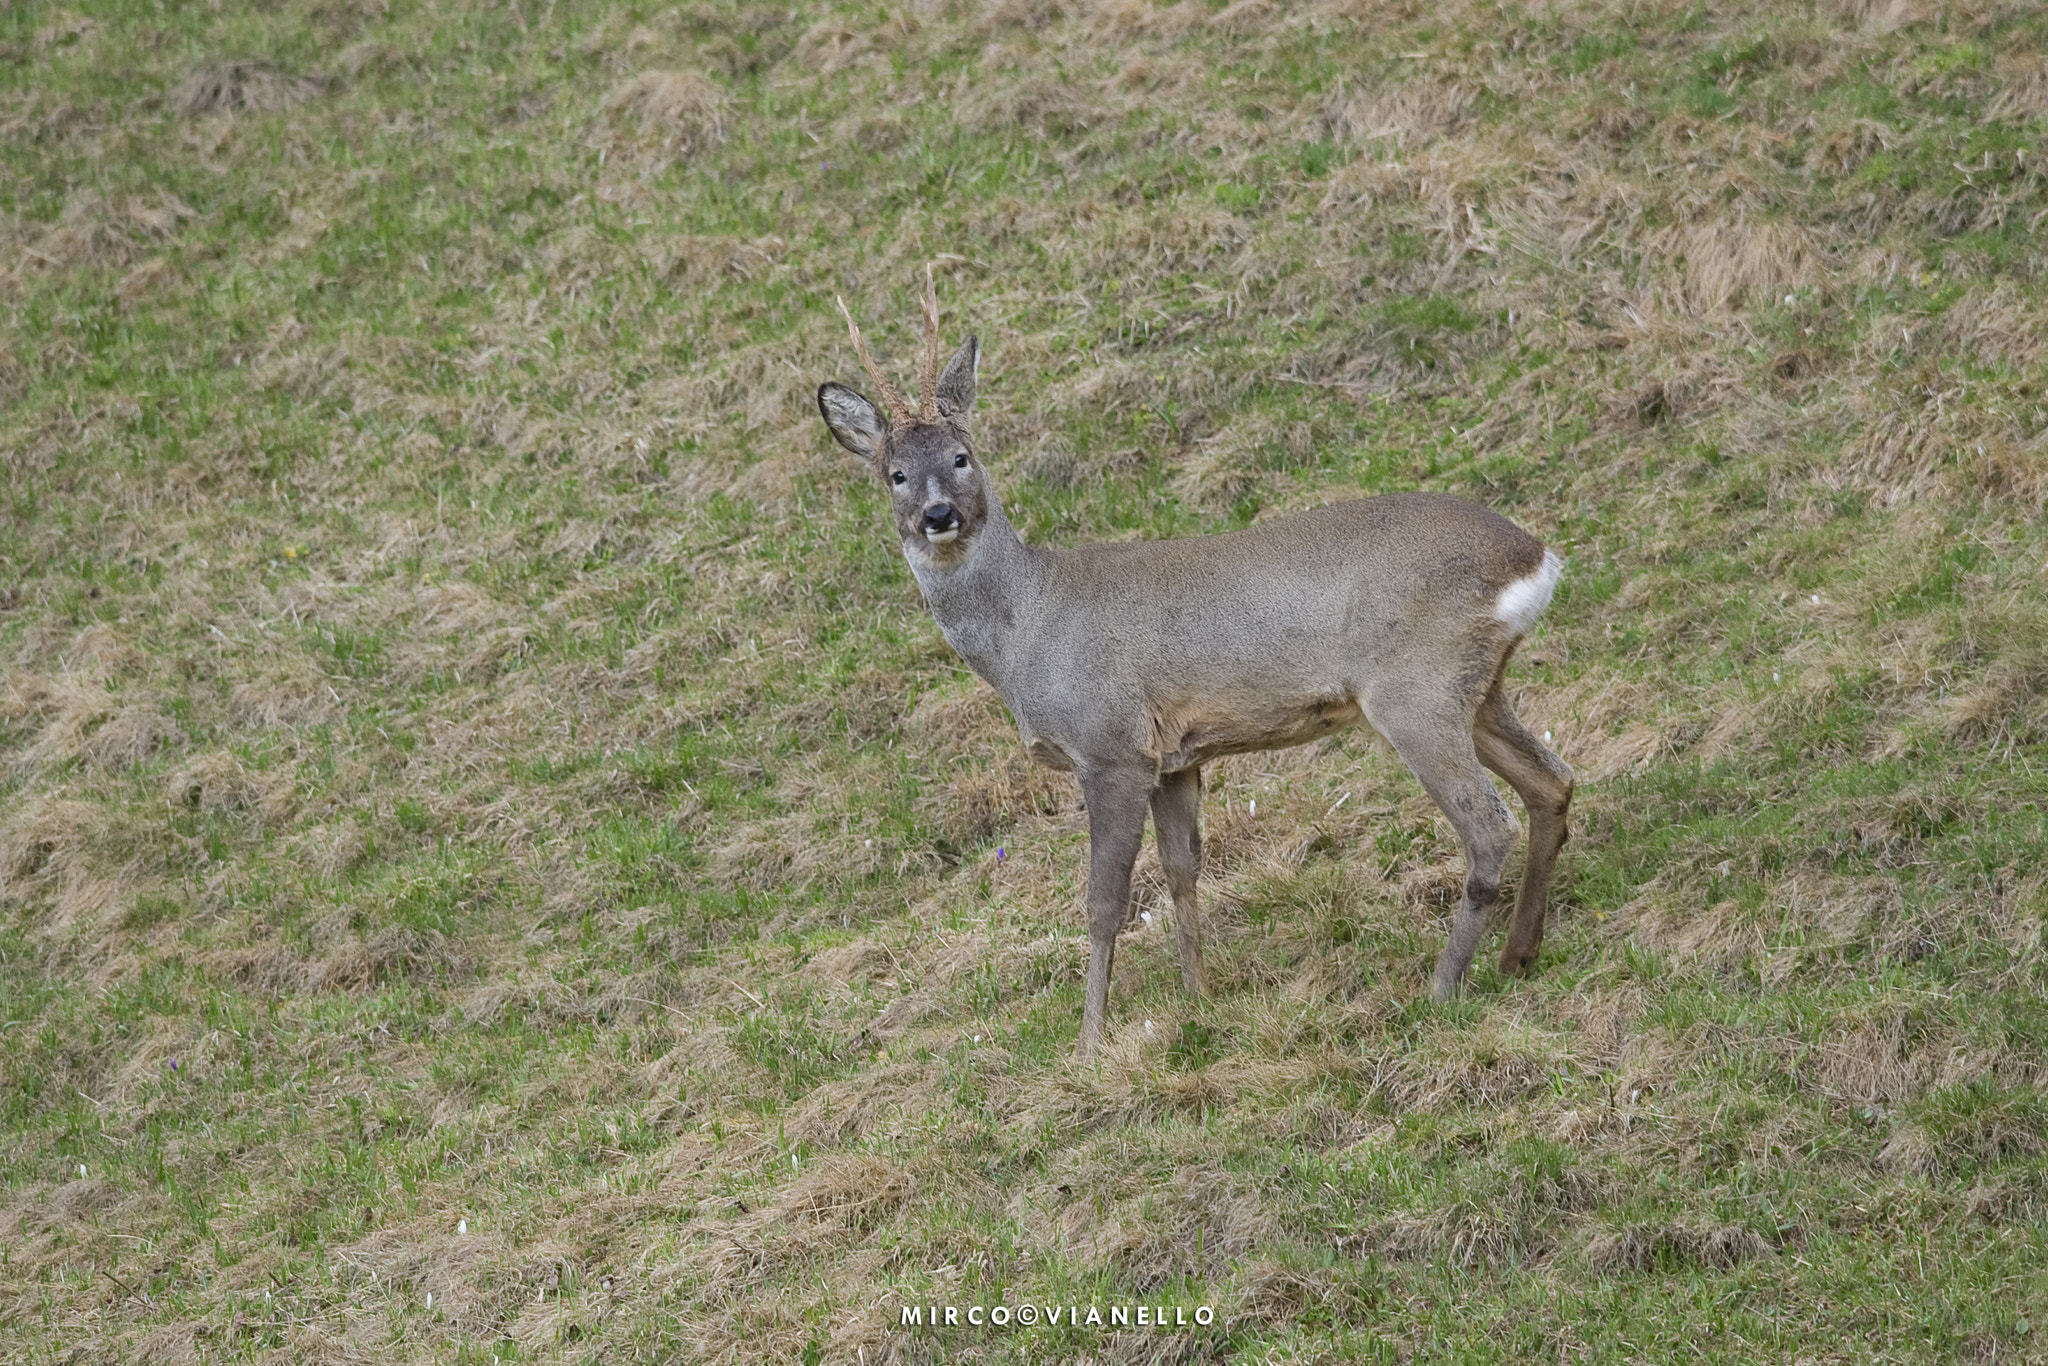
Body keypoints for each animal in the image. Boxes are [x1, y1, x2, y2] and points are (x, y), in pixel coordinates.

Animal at [817, 268, 1575, 1061]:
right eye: (896, 473)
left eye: (962, 458)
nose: (939, 516)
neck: (1027, 632)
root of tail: (1535, 556)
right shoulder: (1175, 757)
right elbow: (1182, 871)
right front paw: (1199, 998)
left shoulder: (1111, 747)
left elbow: (1105, 901)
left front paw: (1090, 1042)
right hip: (1478, 686)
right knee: (1551, 782)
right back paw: (1518, 954)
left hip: (1415, 687)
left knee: (1488, 825)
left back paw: (1441, 987)